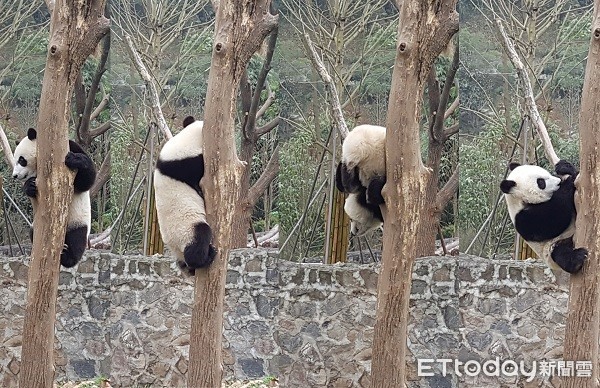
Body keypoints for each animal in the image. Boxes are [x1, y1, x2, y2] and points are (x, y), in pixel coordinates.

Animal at [12, 127, 96, 266]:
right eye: (15, 161)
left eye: (21, 160)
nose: (15, 175)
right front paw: (30, 186)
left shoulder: (71, 146)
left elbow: (86, 181)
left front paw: (74, 159)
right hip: (35, 225)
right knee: (32, 233)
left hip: (78, 221)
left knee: (77, 238)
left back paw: (67, 256)